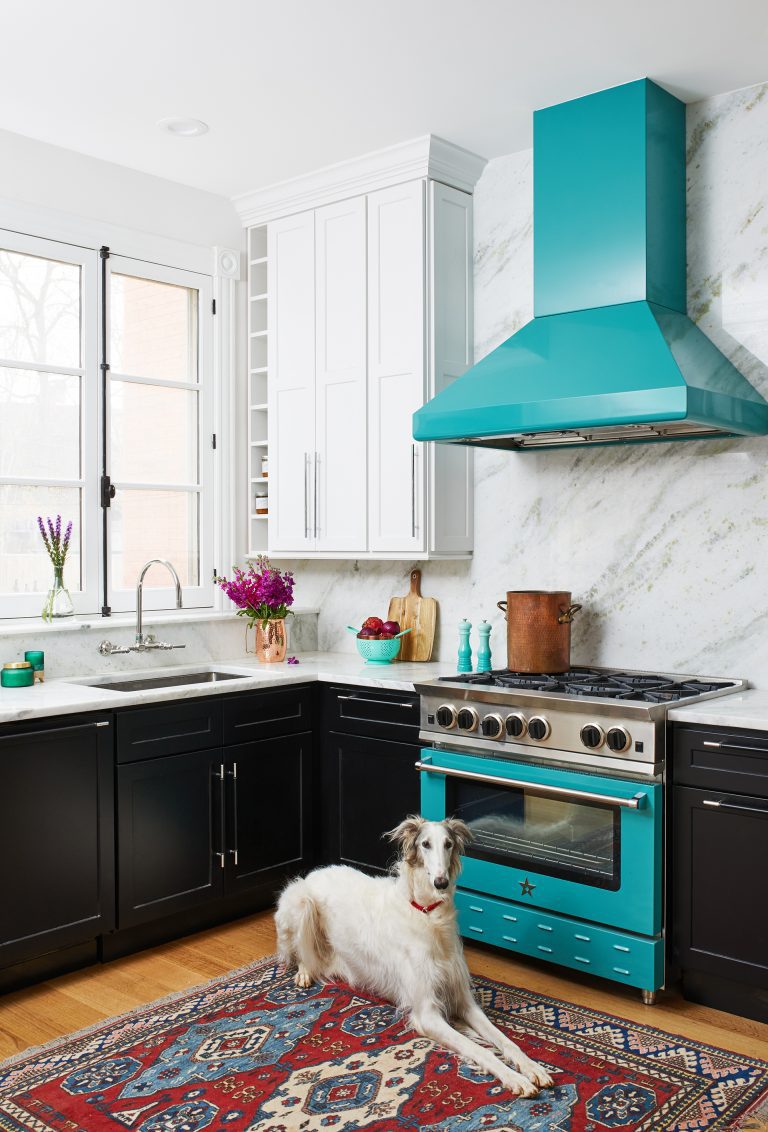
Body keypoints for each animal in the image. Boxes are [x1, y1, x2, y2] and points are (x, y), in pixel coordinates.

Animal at [276, 815, 552, 1095]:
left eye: (448, 844)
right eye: (425, 844)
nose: (441, 882)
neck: (428, 915)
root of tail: (314, 872)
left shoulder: (463, 1000)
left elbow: (505, 1040)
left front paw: (532, 1068)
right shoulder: (427, 1013)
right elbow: (480, 1050)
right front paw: (515, 1079)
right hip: (301, 904)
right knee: (300, 953)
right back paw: (304, 973)